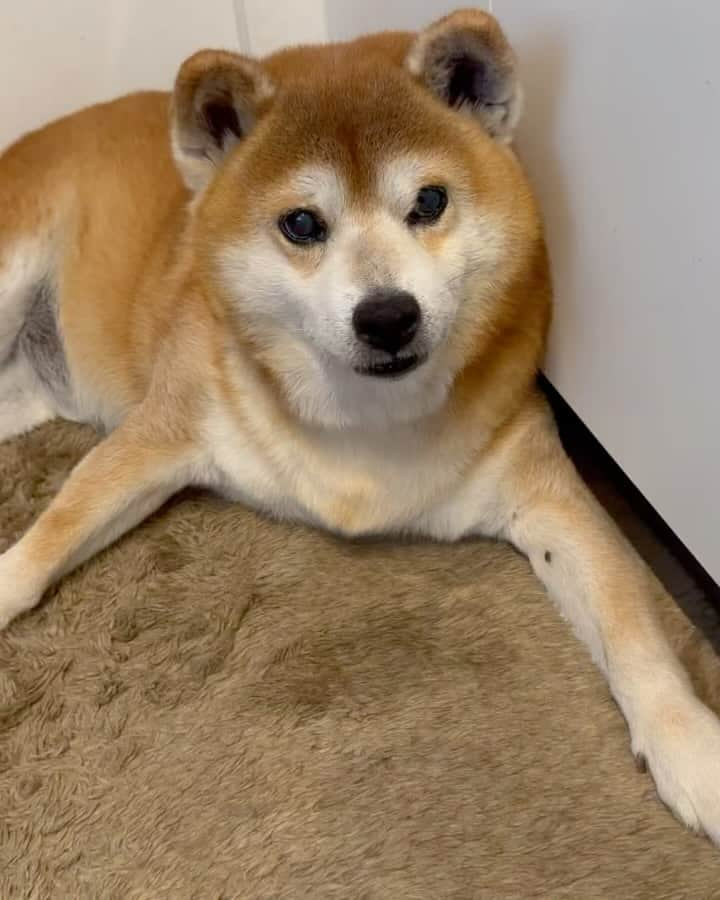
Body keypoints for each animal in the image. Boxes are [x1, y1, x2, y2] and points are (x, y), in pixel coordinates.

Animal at [1, 8, 720, 844]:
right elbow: (52, 534)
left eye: (431, 203)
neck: (364, 415)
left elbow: (632, 626)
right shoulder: (159, 435)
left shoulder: (545, 494)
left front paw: (689, 746)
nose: (386, 316)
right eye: (302, 223)